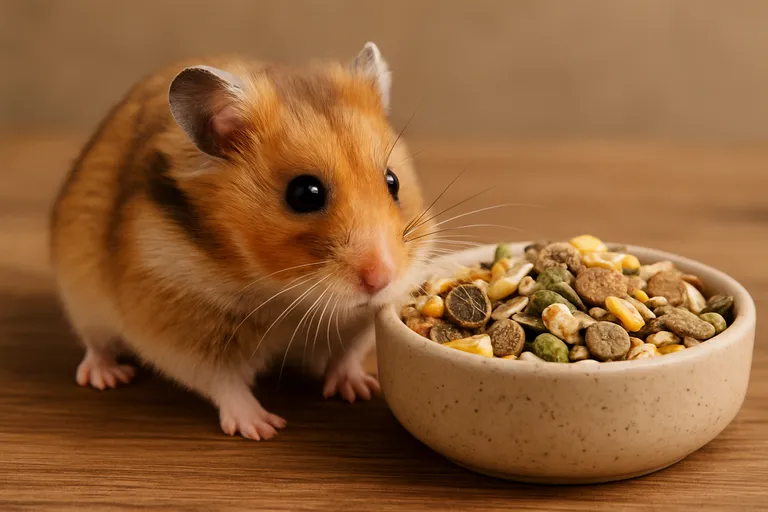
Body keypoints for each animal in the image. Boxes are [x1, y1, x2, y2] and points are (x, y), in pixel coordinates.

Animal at [49, 42, 434, 440]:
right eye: (304, 194)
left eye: (392, 182)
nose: (382, 279)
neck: (288, 295)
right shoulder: (179, 323)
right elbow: (224, 382)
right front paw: (265, 428)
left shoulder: (355, 325)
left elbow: (346, 355)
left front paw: (359, 390)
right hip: (82, 299)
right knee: (95, 344)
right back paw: (106, 377)